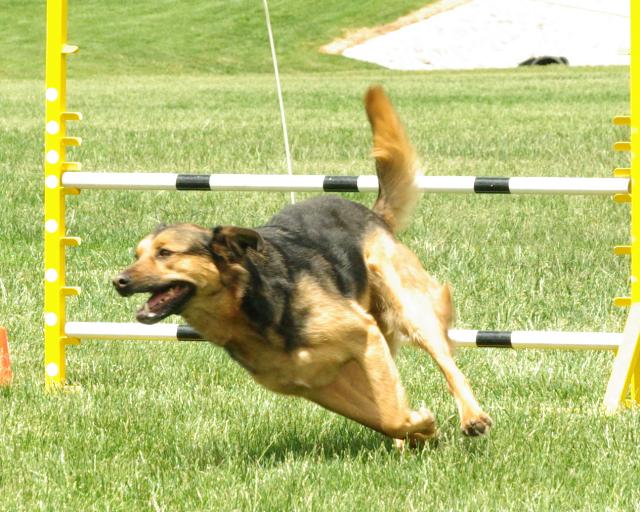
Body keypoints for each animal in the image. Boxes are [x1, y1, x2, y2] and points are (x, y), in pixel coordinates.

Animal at [112, 87, 492, 444]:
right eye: (137, 254)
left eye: (165, 253)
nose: (119, 281)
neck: (251, 308)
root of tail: (372, 214)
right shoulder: (317, 381)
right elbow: (383, 415)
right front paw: (418, 430)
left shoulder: (363, 336)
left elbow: (391, 411)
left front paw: (422, 425)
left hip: (409, 308)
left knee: (448, 365)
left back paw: (472, 416)